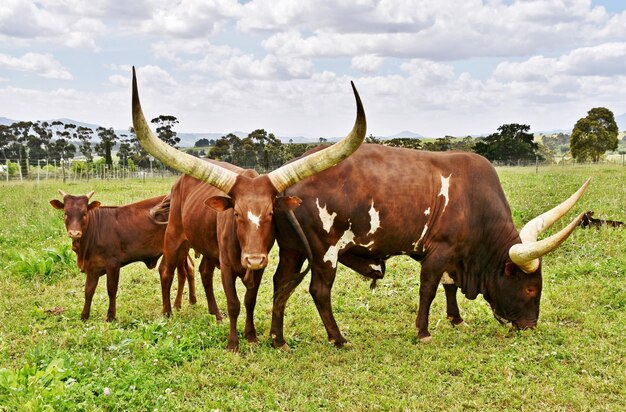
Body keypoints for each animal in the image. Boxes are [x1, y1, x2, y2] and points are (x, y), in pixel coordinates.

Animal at [50, 191, 204, 322]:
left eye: (84, 213)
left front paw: (111, 316)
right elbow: (88, 291)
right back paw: (189, 301)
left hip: (177, 247)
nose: (74, 233)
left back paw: (174, 307)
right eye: (66, 213)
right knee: (187, 269)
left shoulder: (113, 263)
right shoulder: (92, 266)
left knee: (174, 272)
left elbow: (111, 289)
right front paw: (84, 316)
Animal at [132, 66, 366, 350]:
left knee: (204, 272)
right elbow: (234, 302)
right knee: (166, 270)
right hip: (175, 234)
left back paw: (215, 314)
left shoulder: (259, 267)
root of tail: (179, 182)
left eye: (271, 213)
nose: (252, 258)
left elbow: (249, 300)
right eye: (236, 214)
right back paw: (167, 313)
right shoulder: (228, 266)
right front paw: (233, 343)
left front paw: (251, 336)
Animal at [270, 145, 588, 348]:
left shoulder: (453, 255)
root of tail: (286, 185)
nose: (530, 326)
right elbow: (429, 289)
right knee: (319, 291)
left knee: (280, 284)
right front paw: (422, 332)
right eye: (530, 289)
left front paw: (456, 319)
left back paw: (278, 339)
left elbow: (449, 286)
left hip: (292, 251)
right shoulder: (440, 250)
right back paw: (338, 338)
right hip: (325, 251)